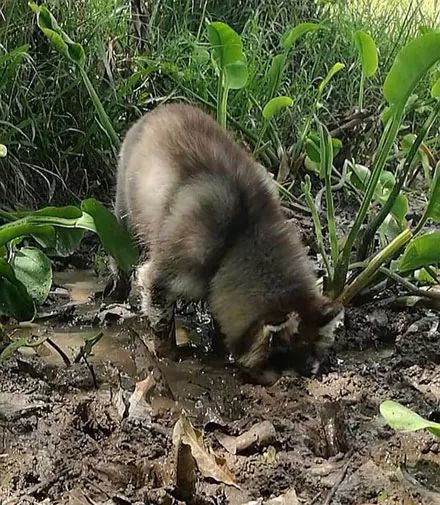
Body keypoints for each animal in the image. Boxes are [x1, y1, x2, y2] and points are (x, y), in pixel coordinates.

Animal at [113, 104, 344, 384]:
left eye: (311, 369)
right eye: (284, 371)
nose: (305, 379)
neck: (238, 240)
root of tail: (164, 108)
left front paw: (217, 351)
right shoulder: (160, 276)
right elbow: (162, 322)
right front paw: (167, 355)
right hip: (122, 213)